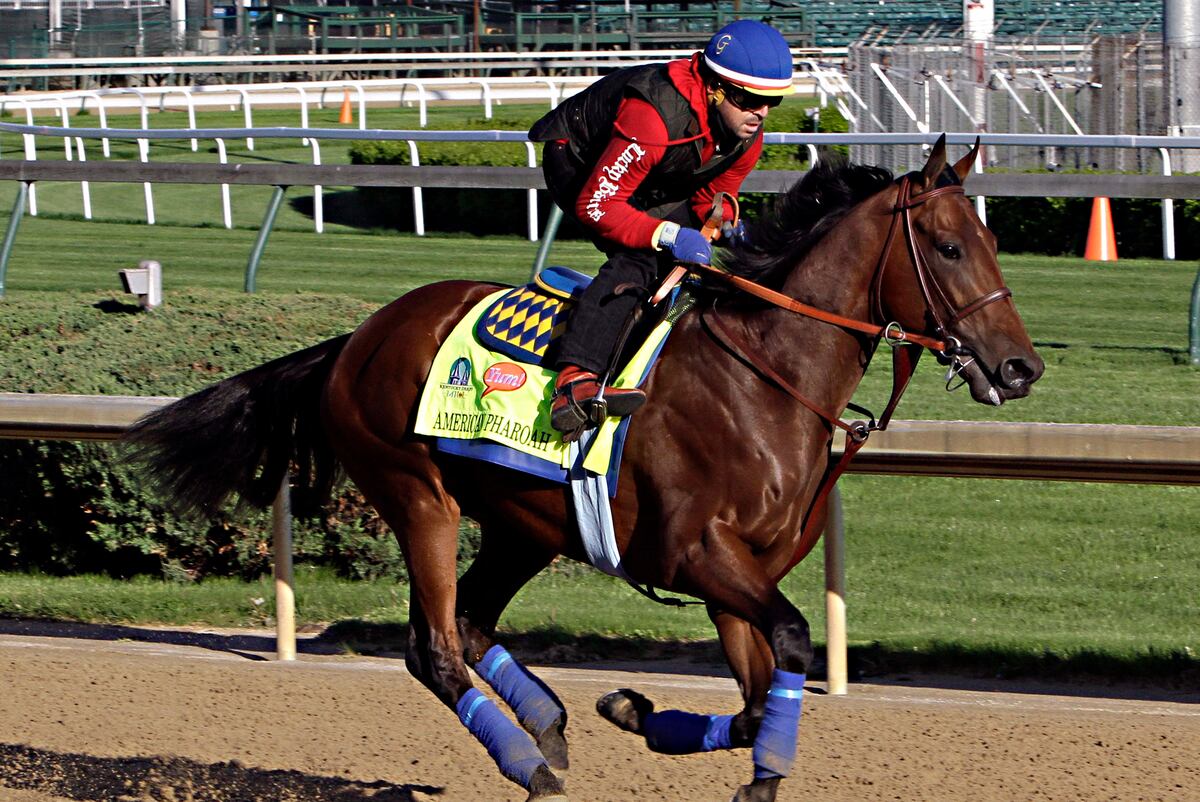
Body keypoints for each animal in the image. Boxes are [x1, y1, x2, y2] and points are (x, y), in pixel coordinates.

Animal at [124, 137, 1043, 802]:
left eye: (995, 240)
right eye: (950, 246)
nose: (1020, 368)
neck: (762, 379)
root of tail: (357, 337)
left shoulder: (743, 574)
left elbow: (756, 702)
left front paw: (634, 709)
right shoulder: (698, 556)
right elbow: (790, 639)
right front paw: (737, 768)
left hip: (523, 523)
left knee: (472, 623)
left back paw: (550, 723)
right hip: (420, 499)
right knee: (434, 648)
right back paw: (529, 766)